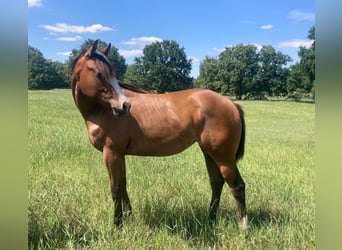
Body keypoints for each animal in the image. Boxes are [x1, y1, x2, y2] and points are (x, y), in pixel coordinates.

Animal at [71, 40, 248, 229]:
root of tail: (231, 103)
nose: (125, 105)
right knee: (216, 183)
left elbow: (116, 189)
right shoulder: (119, 154)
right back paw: (210, 219)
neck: (102, 111)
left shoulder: (111, 153)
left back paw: (243, 227)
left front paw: (118, 225)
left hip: (224, 158)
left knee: (237, 186)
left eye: (113, 73)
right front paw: (129, 217)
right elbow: (123, 185)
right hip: (209, 153)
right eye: (99, 73)